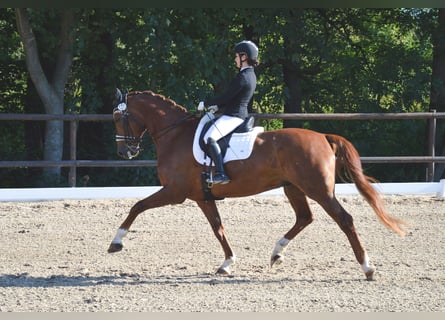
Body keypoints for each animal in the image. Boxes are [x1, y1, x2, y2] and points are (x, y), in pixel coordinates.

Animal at [107, 88, 406, 280]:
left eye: (117, 118)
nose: (124, 152)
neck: (175, 134)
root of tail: (322, 136)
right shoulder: (202, 197)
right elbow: (218, 228)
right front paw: (227, 263)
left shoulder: (175, 192)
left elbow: (137, 206)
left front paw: (116, 242)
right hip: (293, 187)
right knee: (304, 218)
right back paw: (276, 254)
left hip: (318, 189)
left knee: (344, 219)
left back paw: (367, 268)